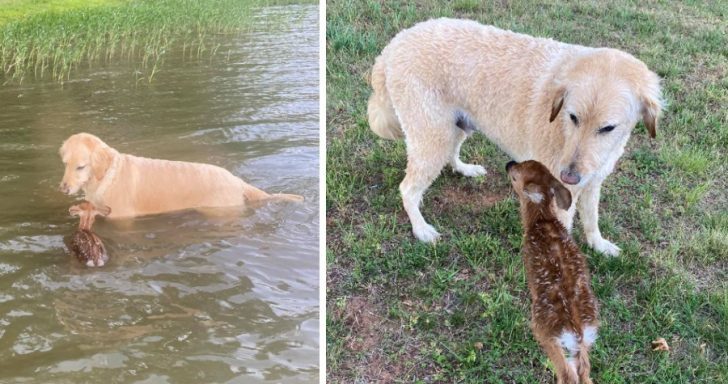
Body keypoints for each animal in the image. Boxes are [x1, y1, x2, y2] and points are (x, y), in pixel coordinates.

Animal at [366, 18, 664, 255]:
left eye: (608, 128)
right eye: (573, 117)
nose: (568, 176)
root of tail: (394, 44)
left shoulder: (592, 183)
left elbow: (591, 220)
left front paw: (598, 245)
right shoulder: (560, 197)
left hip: (456, 126)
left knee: (450, 154)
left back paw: (464, 169)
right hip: (433, 137)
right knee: (408, 189)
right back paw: (421, 229)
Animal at [506, 160, 596, 384]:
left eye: (515, 176)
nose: (509, 163)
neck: (543, 220)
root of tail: (577, 331)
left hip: (545, 331)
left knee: (568, 373)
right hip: (584, 345)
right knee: (585, 371)